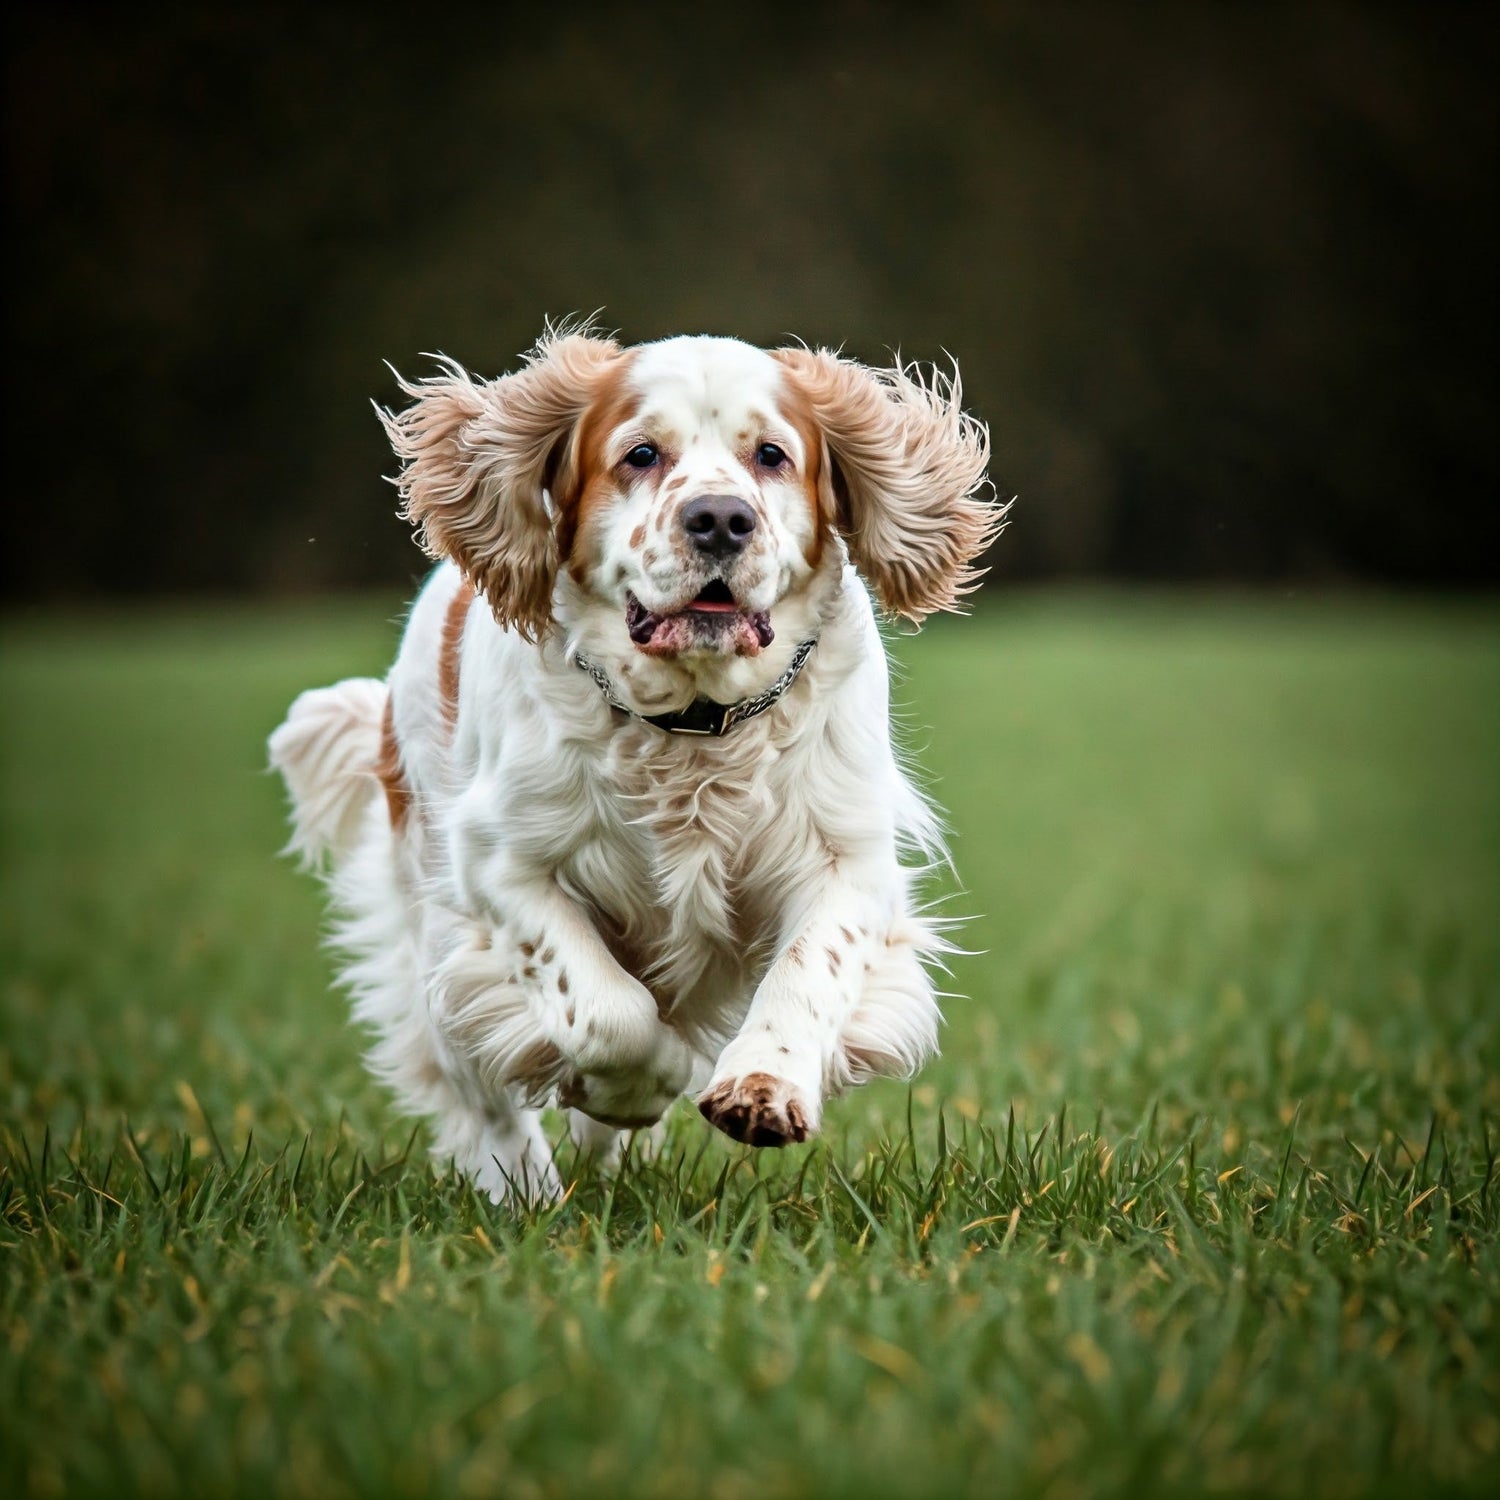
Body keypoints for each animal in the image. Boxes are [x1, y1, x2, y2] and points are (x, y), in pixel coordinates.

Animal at [268, 328, 1002, 1206]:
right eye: (641, 454)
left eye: (772, 455)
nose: (718, 518)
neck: (692, 724)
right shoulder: (502, 867)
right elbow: (605, 1014)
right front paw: (643, 1081)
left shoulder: (844, 860)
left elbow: (805, 976)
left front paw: (762, 1087)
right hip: (441, 942)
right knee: (486, 1096)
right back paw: (527, 1195)